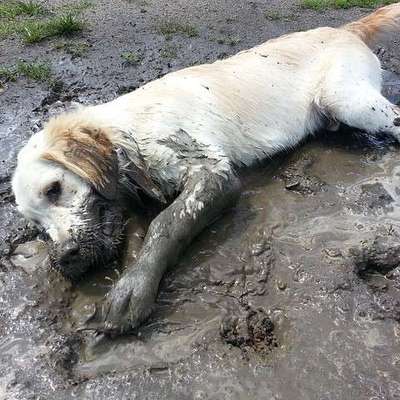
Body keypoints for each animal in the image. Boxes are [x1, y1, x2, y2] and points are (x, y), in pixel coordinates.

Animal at [11, 3, 400, 334]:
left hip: (349, 100)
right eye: (37, 227)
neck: (130, 131)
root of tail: (344, 29)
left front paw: (132, 291)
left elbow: (166, 224)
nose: (63, 258)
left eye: (54, 189)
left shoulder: (213, 172)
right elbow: (136, 231)